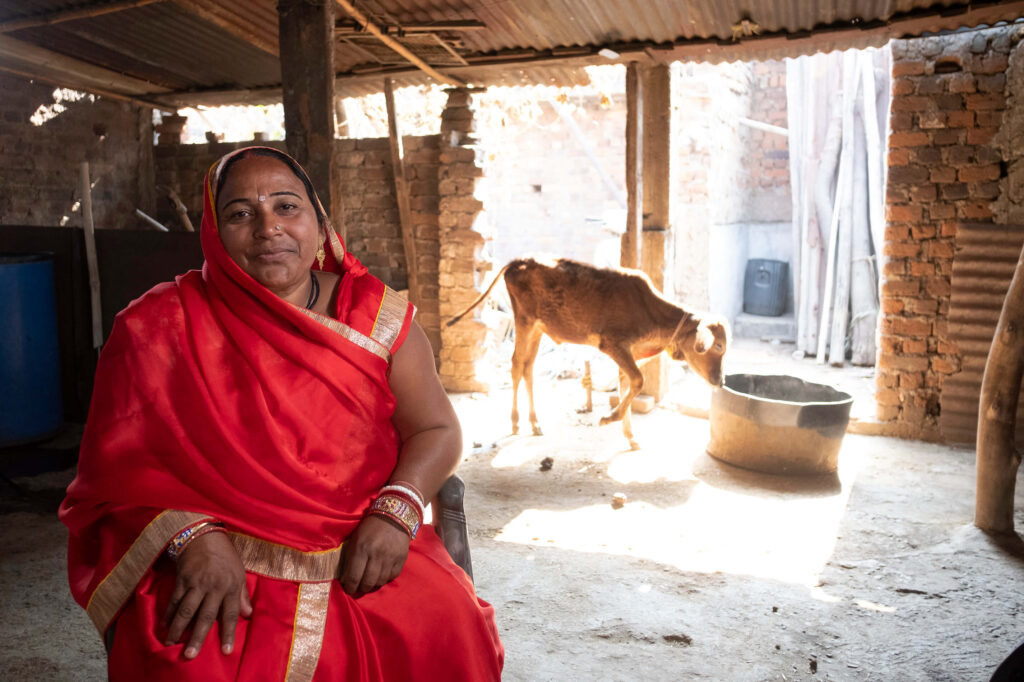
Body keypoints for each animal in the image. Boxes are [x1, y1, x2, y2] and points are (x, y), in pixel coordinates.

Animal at [448, 256, 729, 446]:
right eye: (718, 345)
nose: (721, 380)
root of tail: (521, 260)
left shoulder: (629, 353)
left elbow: (626, 385)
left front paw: (630, 436)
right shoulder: (613, 344)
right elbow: (637, 381)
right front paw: (610, 418)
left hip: (538, 328)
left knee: (528, 367)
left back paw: (534, 422)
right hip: (524, 321)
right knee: (516, 365)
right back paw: (517, 421)